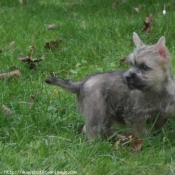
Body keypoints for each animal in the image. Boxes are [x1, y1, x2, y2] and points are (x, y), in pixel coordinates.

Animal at [44, 32, 175, 141]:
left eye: (144, 67)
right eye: (130, 64)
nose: (126, 76)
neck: (156, 91)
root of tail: (81, 83)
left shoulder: (163, 115)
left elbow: (158, 126)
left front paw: (156, 136)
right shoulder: (136, 117)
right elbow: (141, 133)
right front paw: (147, 142)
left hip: (106, 114)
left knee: (105, 129)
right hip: (97, 111)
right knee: (90, 129)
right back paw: (95, 145)